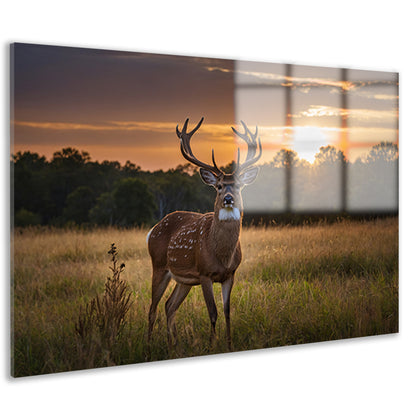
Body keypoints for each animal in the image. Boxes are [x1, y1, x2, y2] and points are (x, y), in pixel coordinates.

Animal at [148, 118, 262, 352]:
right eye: (218, 186)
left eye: (238, 186)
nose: (228, 199)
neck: (221, 254)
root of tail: (153, 230)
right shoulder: (204, 273)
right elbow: (213, 312)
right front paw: (212, 345)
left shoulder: (230, 274)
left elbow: (227, 312)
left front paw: (229, 344)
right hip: (159, 265)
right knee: (152, 308)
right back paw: (148, 347)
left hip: (183, 279)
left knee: (169, 305)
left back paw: (173, 345)